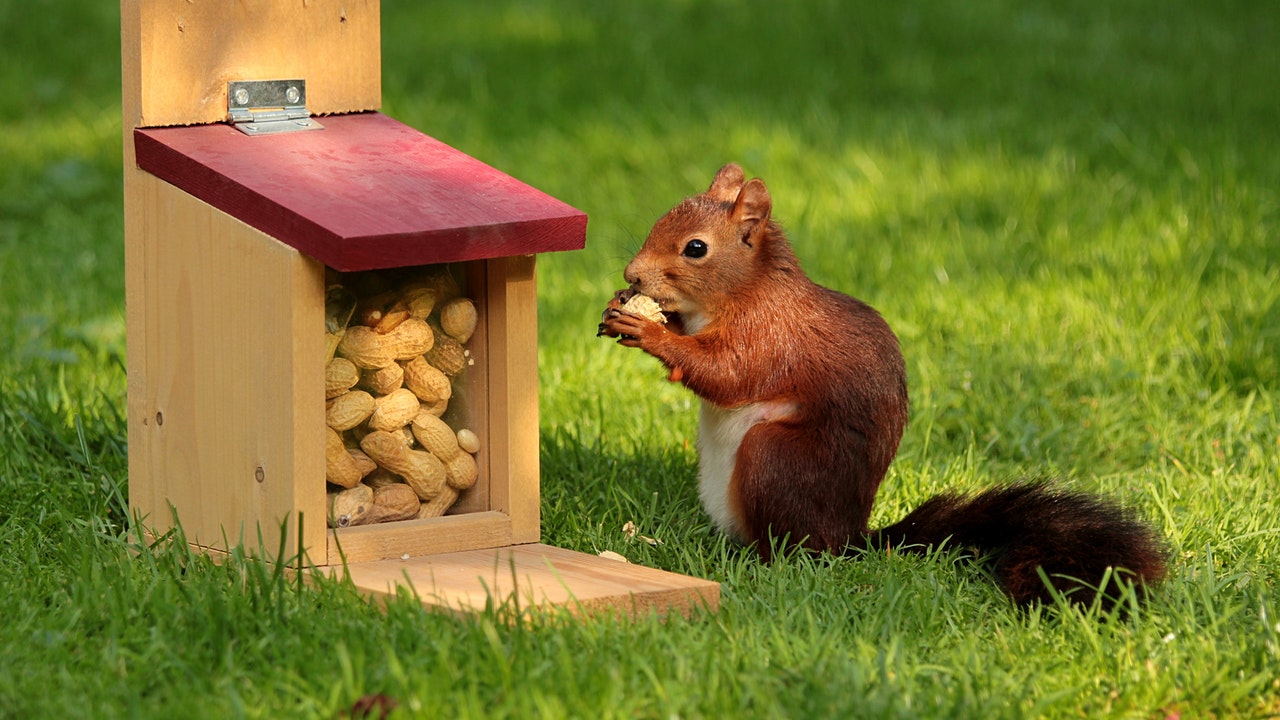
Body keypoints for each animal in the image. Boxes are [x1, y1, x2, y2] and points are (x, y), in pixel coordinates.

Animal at [598, 163, 1168, 606]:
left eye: (696, 248)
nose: (631, 274)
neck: (742, 292)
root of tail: (851, 538)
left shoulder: (771, 336)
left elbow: (727, 374)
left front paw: (649, 331)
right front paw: (625, 311)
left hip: (775, 459)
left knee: (795, 550)